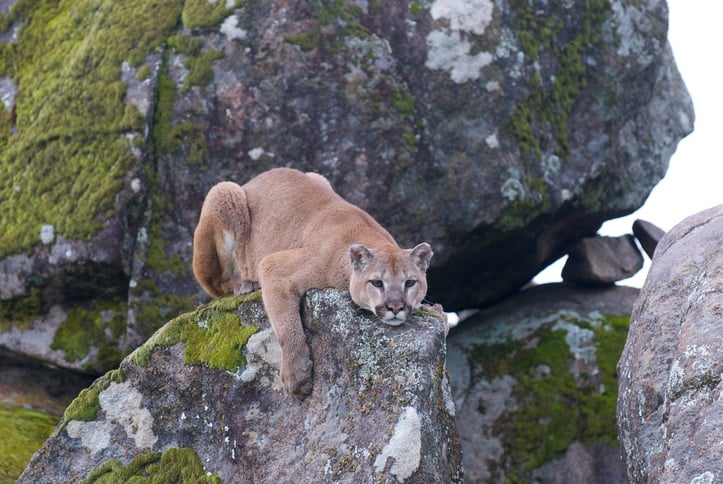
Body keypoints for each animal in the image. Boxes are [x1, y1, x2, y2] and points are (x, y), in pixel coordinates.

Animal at [192, 168, 436, 396]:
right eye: (377, 283)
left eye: (409, 283)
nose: (395, 307)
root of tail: (250, 181)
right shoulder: (273, 266)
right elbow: (287, 327)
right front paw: (296, 376)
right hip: (223, 192)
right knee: (213, 284)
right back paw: (243, 284)